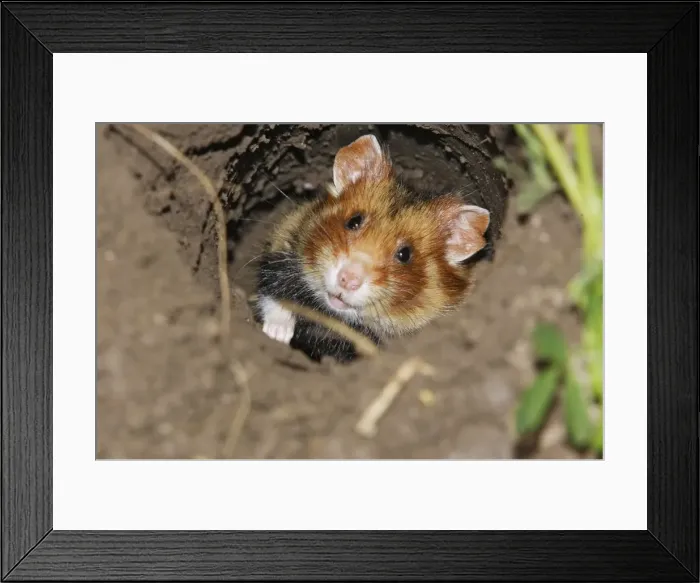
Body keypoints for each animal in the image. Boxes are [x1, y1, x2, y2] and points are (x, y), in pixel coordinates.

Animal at [253, 133, 491, 362]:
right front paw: (277, 334)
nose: (347, 280)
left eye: (405, 254)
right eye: (354, 221)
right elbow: (273, 291)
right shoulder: (284, 245)